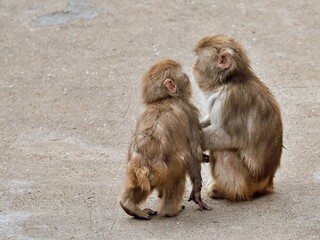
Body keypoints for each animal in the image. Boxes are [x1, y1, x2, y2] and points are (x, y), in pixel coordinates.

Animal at [119, 58, 211, 219]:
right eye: (184, 76)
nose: (188, 76)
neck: (164, 99)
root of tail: (142, 166)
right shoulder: (190, 112)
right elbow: (194, 152)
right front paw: (197, 187)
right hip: (166, 171)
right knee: (180, 169)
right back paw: (171, 211)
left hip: (138, 174)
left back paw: (129, 206)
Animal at [191, 35, 282, 201]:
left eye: (199, 57)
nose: (194, 64)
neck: (227, 81)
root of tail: (267, 184)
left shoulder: (230, 100)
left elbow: (232, 137)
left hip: (248, 180)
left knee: (223, 151)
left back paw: (225, 192)